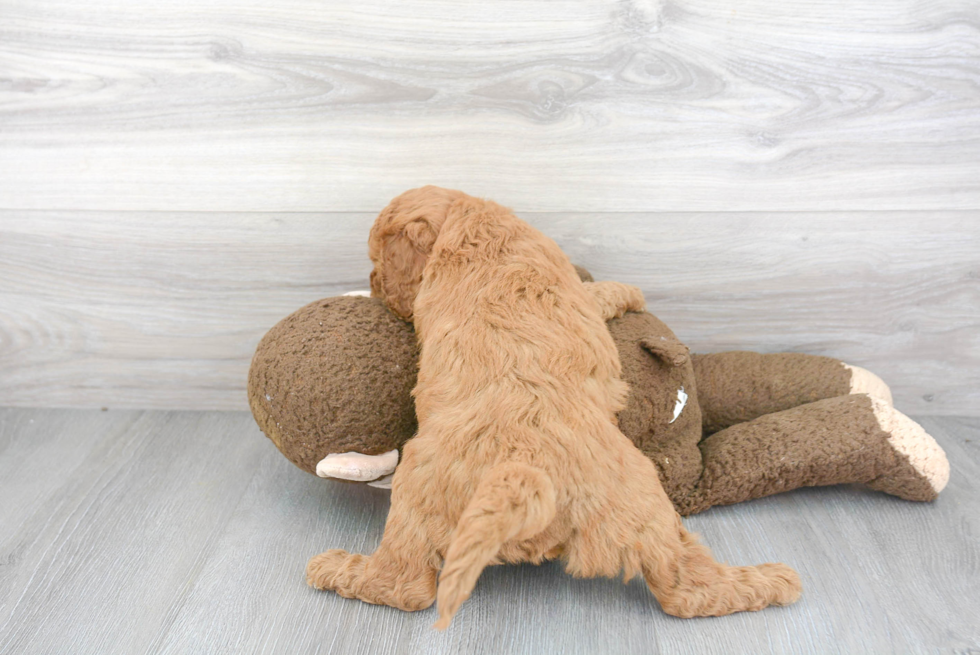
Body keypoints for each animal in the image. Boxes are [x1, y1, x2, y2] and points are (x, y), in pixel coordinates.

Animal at [308, 187, 804, 628]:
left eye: (377, 259)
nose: (373, 286)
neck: (470, 220)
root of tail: (522, 473)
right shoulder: (578, 291)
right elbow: (601, 291)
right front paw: (631, 289)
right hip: (639, 506)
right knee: (402, 587)